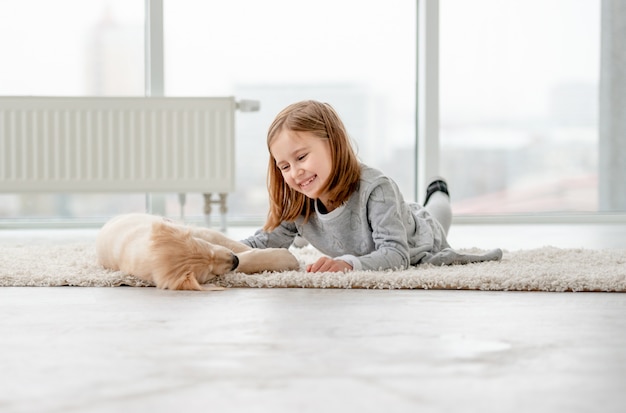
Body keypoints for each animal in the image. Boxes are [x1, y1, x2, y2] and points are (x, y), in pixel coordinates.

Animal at [96, 212, 302, 290]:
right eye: (209, 273)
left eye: (206, 247)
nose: (234, 260)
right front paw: (286, 259)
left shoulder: (204, 235)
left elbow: (235, 244)